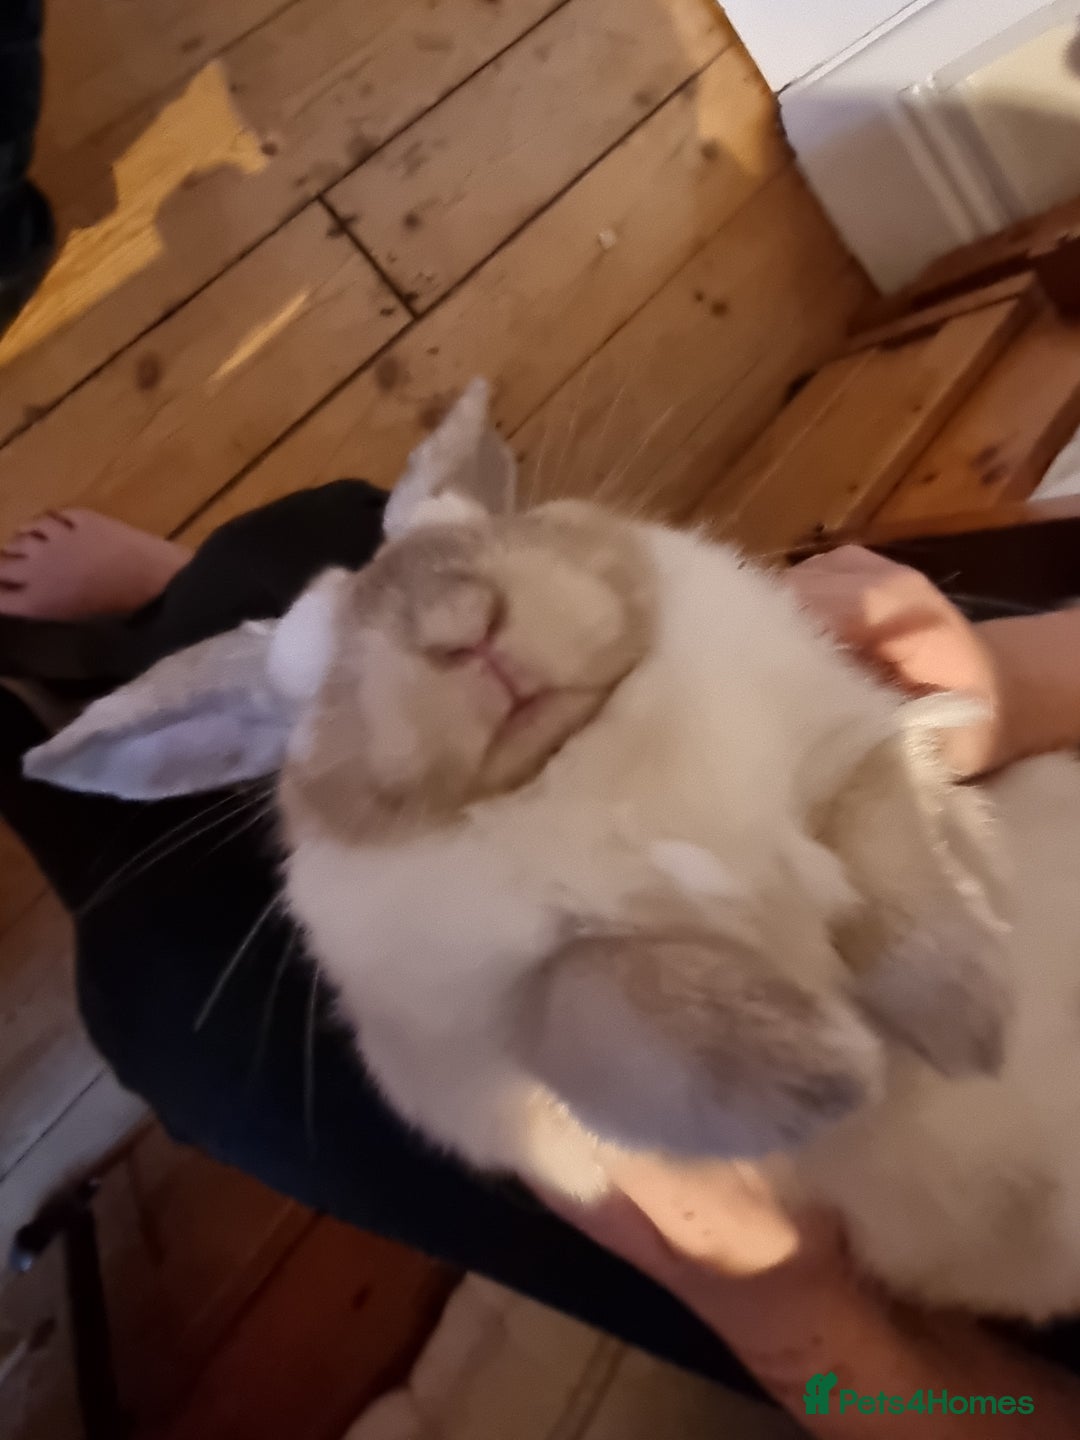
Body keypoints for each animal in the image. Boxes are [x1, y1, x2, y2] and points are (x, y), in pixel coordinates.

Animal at [26, 378, 1080, 1323]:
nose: (462, 626)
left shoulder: (852, 746)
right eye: (309, 676)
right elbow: (582, 991)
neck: (575, 761)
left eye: (469, 531)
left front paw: (968, 1019)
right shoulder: (488, 1050)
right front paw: (817, 1069)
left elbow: (888, 845)